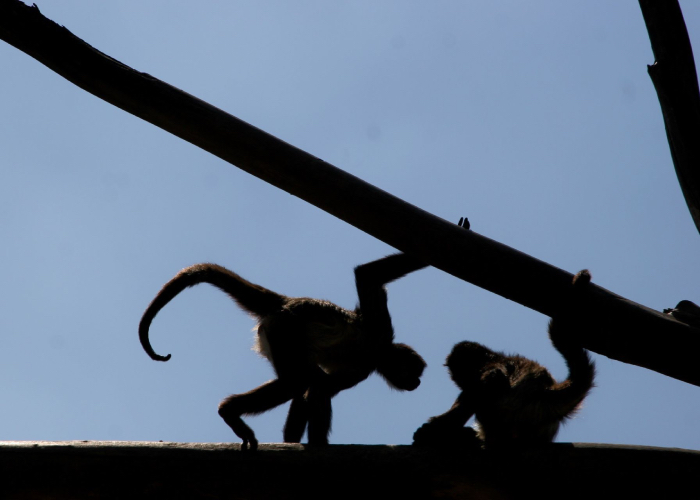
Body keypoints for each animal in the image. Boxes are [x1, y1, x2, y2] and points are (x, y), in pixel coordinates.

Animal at [139, 253, 429, 451]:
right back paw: (228, 410)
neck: (379, 352)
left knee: (305, 380)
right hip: (285, 331)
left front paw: (293, 440)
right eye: (415, 372)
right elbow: (368, 275)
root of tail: (286, 303)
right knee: (298, 381)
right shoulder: (378, 334)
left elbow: (316, 389)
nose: (417, 383)